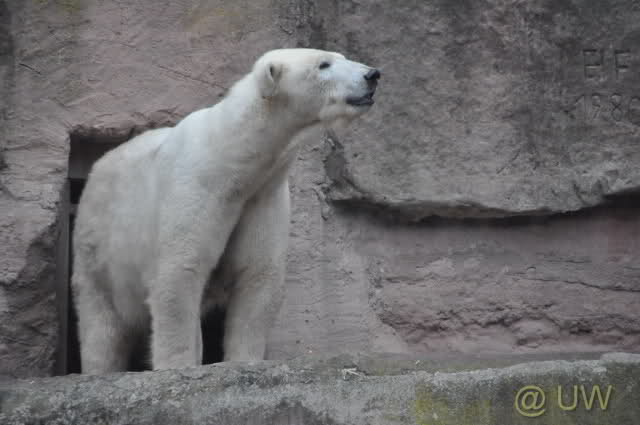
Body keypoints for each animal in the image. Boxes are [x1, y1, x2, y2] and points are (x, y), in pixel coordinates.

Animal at [71, 48, 380, 373]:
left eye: (340, 56)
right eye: (324, 64)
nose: (372, 75)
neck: (232, 160)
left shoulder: (262, 197)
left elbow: (258, 277)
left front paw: (243, 360)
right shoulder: (196, 188)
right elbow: (179, 274)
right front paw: (177, 366)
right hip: (98, 244)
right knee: (100, 322)